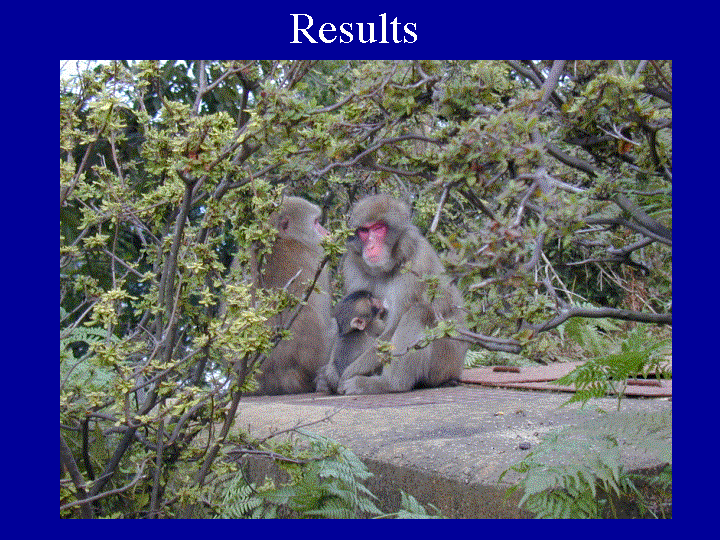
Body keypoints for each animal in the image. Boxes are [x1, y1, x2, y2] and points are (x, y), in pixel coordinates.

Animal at [335, 194, 469, 394]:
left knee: (418, 312)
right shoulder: (352, 266)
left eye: (379, 228)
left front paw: (347, 374)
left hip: (446, 361)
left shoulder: (417, 265)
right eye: (364, 231)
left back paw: (389, 384)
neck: (386, 268)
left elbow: (393, 327)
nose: (371, 246)